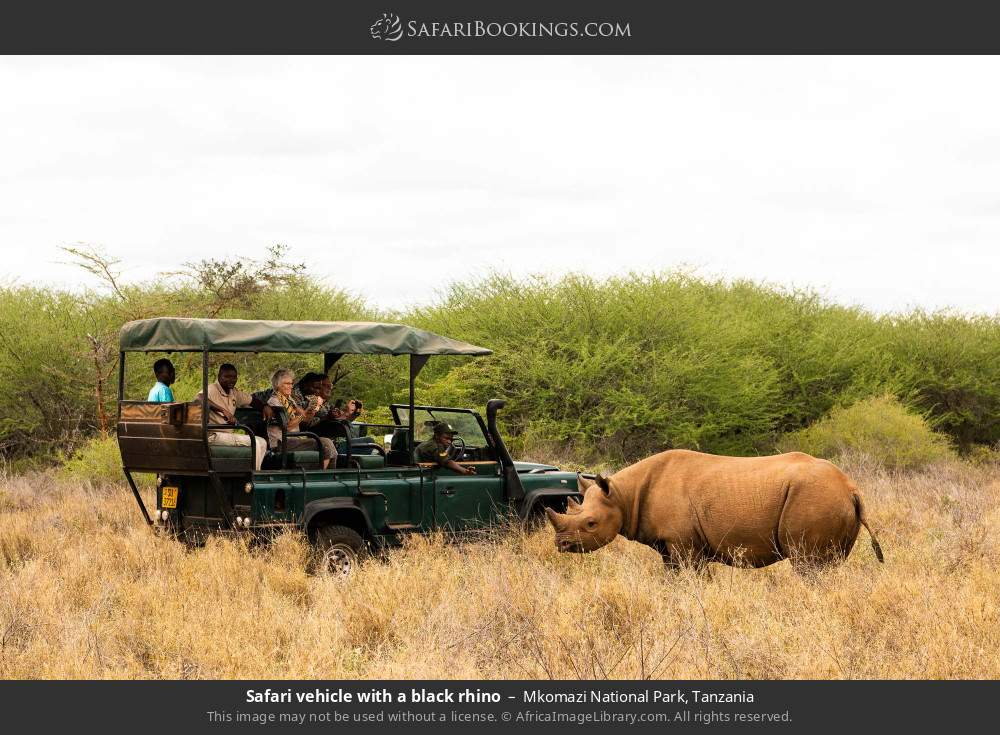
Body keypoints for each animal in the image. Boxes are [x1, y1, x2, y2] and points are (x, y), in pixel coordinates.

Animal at [545, 449, 884, 571]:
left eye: (591, 523)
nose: (561, 545)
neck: (623, 495)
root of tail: (851, 487)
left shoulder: (685, 545)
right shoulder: (670, 545)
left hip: (815, 497)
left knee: (808, 565)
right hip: (832, 500)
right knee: (830, 565)